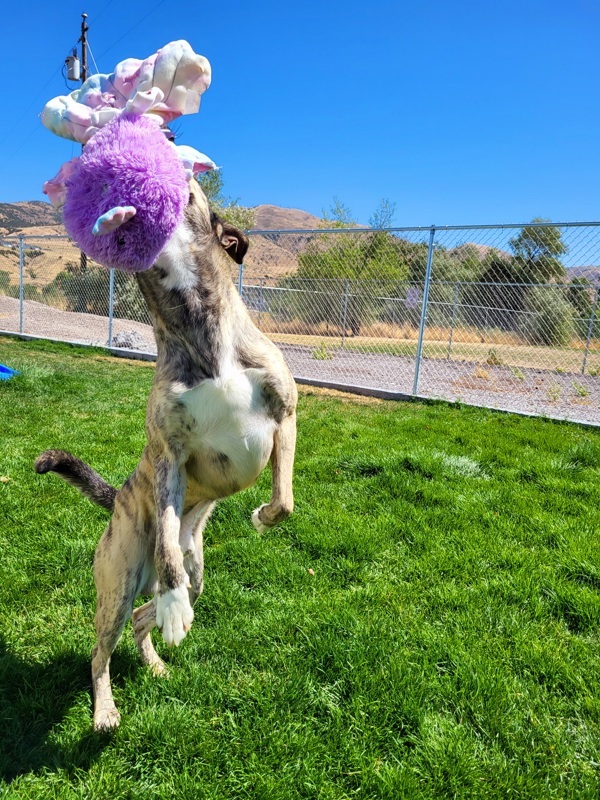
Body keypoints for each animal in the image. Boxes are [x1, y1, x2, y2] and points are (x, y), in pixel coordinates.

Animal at [34, 180, 296, 732]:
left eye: (187, 185)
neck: (200, 332)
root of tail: (116, 499)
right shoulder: (169, 459)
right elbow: (169, 557)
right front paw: (171, 605)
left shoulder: (285, 415)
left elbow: (284, 498)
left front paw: (263, 516)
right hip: (119, 582)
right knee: (102, 649)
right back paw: (106, 707)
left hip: (197, 577)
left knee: (143, 617)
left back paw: (154, 661)